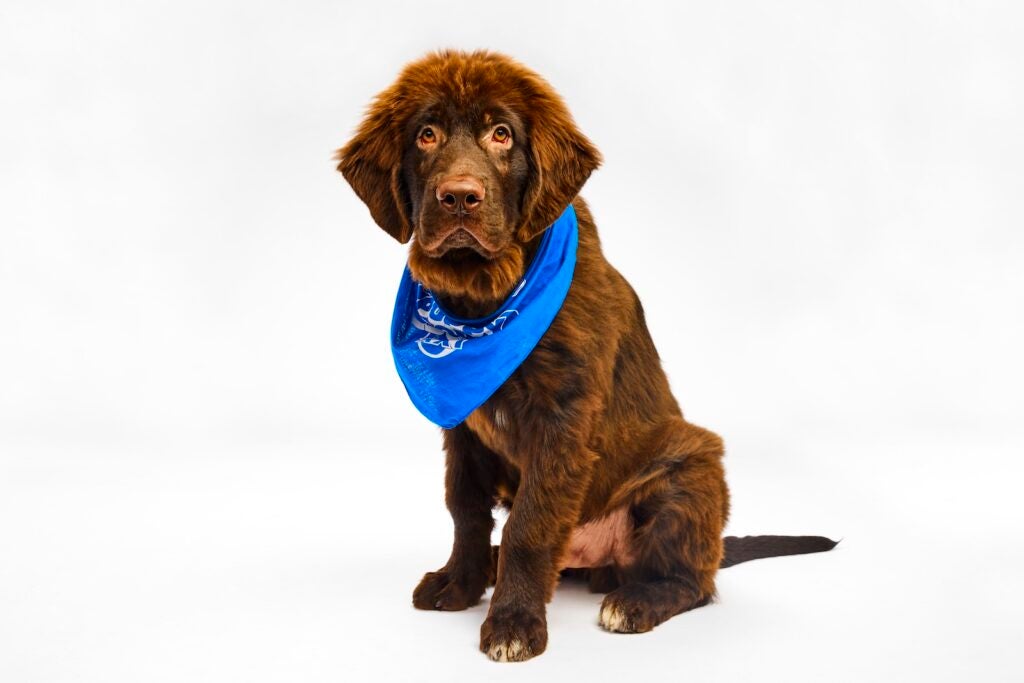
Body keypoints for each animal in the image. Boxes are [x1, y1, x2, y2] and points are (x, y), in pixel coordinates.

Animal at [335, 49, 831, 663]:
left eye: (502, 134)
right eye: (426, 135)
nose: (459, 197)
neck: (486, 297)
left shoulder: (562, 419)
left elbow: (527, 526)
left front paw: (514, 623)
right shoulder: (464, 427)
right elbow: (465, 509)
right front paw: (462, 582)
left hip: (691, 470)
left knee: (696, 579)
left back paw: (637, 600)